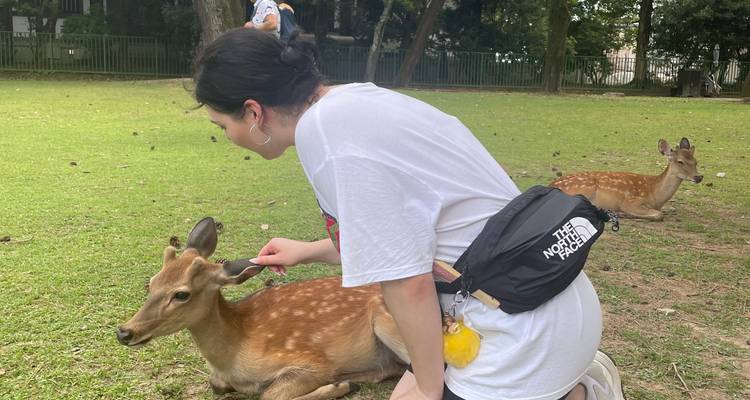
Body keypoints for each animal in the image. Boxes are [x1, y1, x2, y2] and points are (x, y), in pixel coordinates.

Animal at [117, 217, 409, 400]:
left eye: (181, 294)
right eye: (152, 282)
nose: (124, 332)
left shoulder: (312, 360)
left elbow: (269, 395)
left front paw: (338, 386)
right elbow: (216, 385)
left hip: (385, 321)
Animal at [551, 137, 702, 221]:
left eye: (696, 162)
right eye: (680, 162)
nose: (699, 177)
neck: (655, 195)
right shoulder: (630, 201)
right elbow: (659, 215)